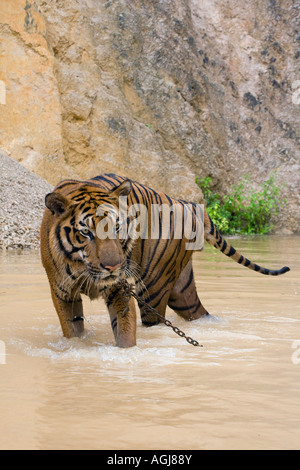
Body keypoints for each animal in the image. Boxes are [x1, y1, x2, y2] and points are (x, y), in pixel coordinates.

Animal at [41, 174, 290, 346]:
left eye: (117, 228)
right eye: (86, 233)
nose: (114, 266)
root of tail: (186, 203)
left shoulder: (119, 290)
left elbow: (125, 333)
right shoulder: (63, 294)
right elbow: (73, 332)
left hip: (154, 287)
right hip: (182, 291)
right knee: (199, 312)